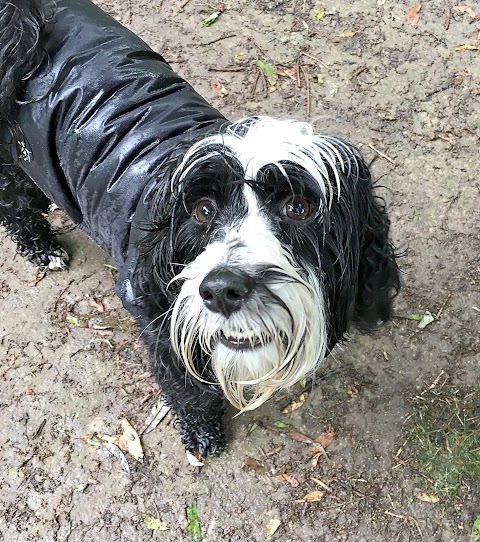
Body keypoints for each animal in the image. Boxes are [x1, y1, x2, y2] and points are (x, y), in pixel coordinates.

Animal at [0, 0, 400, 460]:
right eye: (203, 210)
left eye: (298, 207)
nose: (222, 290)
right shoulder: (156, 318)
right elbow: (186, 387)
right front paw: (202, 431)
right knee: (15, 206)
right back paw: (40, 246)